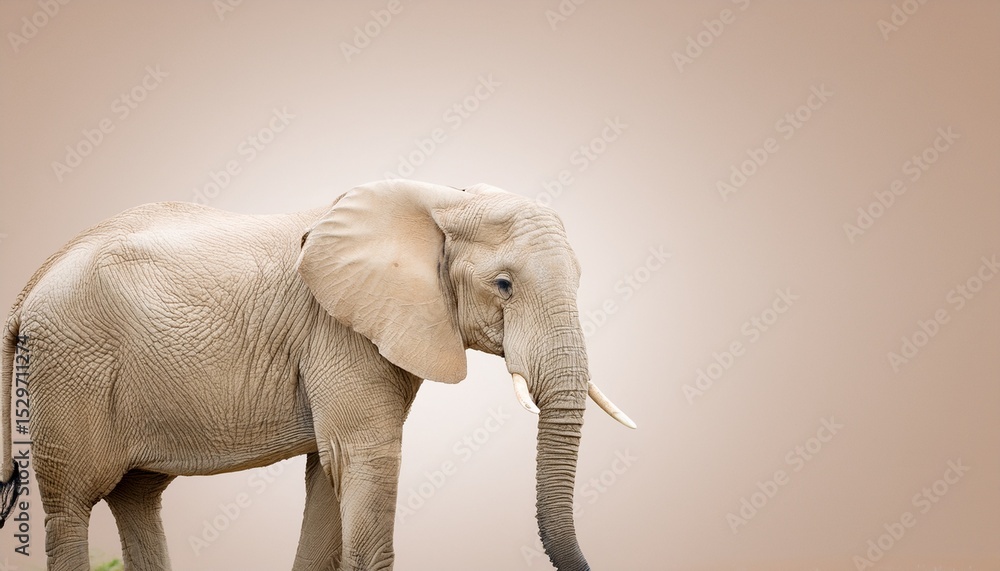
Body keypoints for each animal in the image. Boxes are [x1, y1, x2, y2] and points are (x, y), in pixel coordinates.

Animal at [0, 179, 635, 570]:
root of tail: (29, 287)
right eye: (503, 284)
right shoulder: (339, 332)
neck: (440, 201)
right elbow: (361, 458)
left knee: (136, 496)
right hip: (69, 370)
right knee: (72, 502)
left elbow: (329, 475)